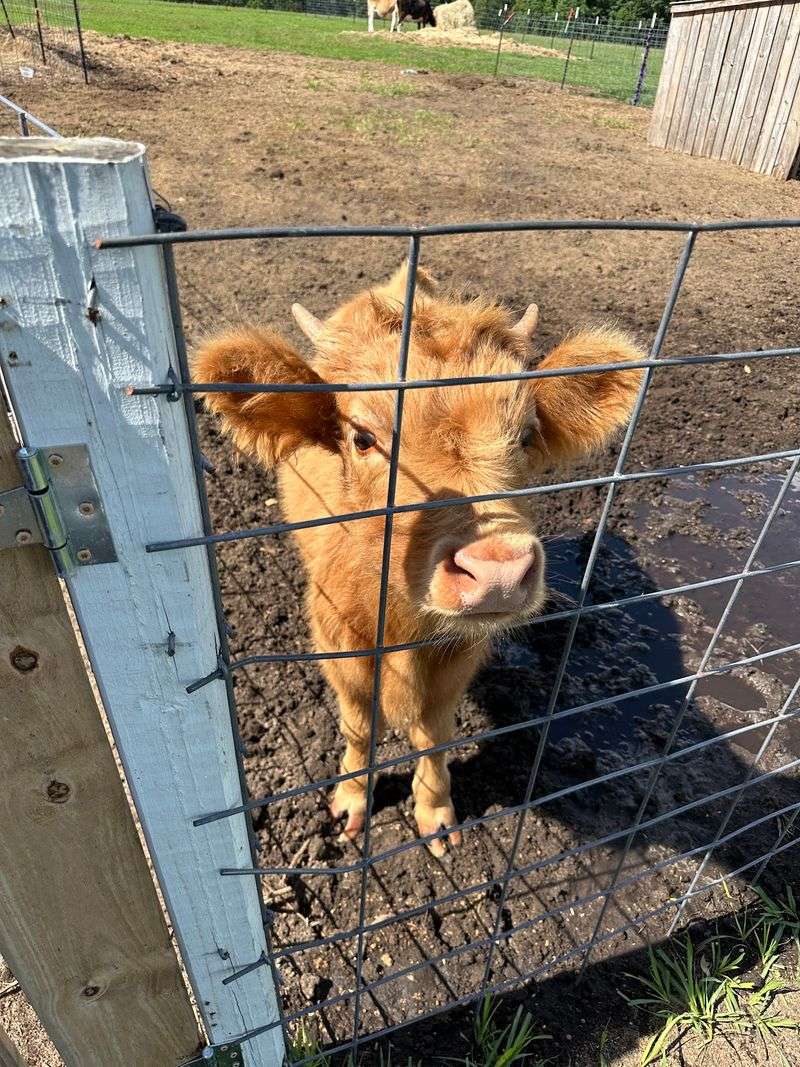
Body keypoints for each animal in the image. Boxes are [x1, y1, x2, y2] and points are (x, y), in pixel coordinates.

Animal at [194, 265, 645, 857]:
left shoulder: (458, 657)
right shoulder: (340, 648)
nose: (497, 573)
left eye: (526, 436)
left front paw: (436, 812)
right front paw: (352, 801)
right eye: (362, 437)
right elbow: (359, 727)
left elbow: (434, 734)